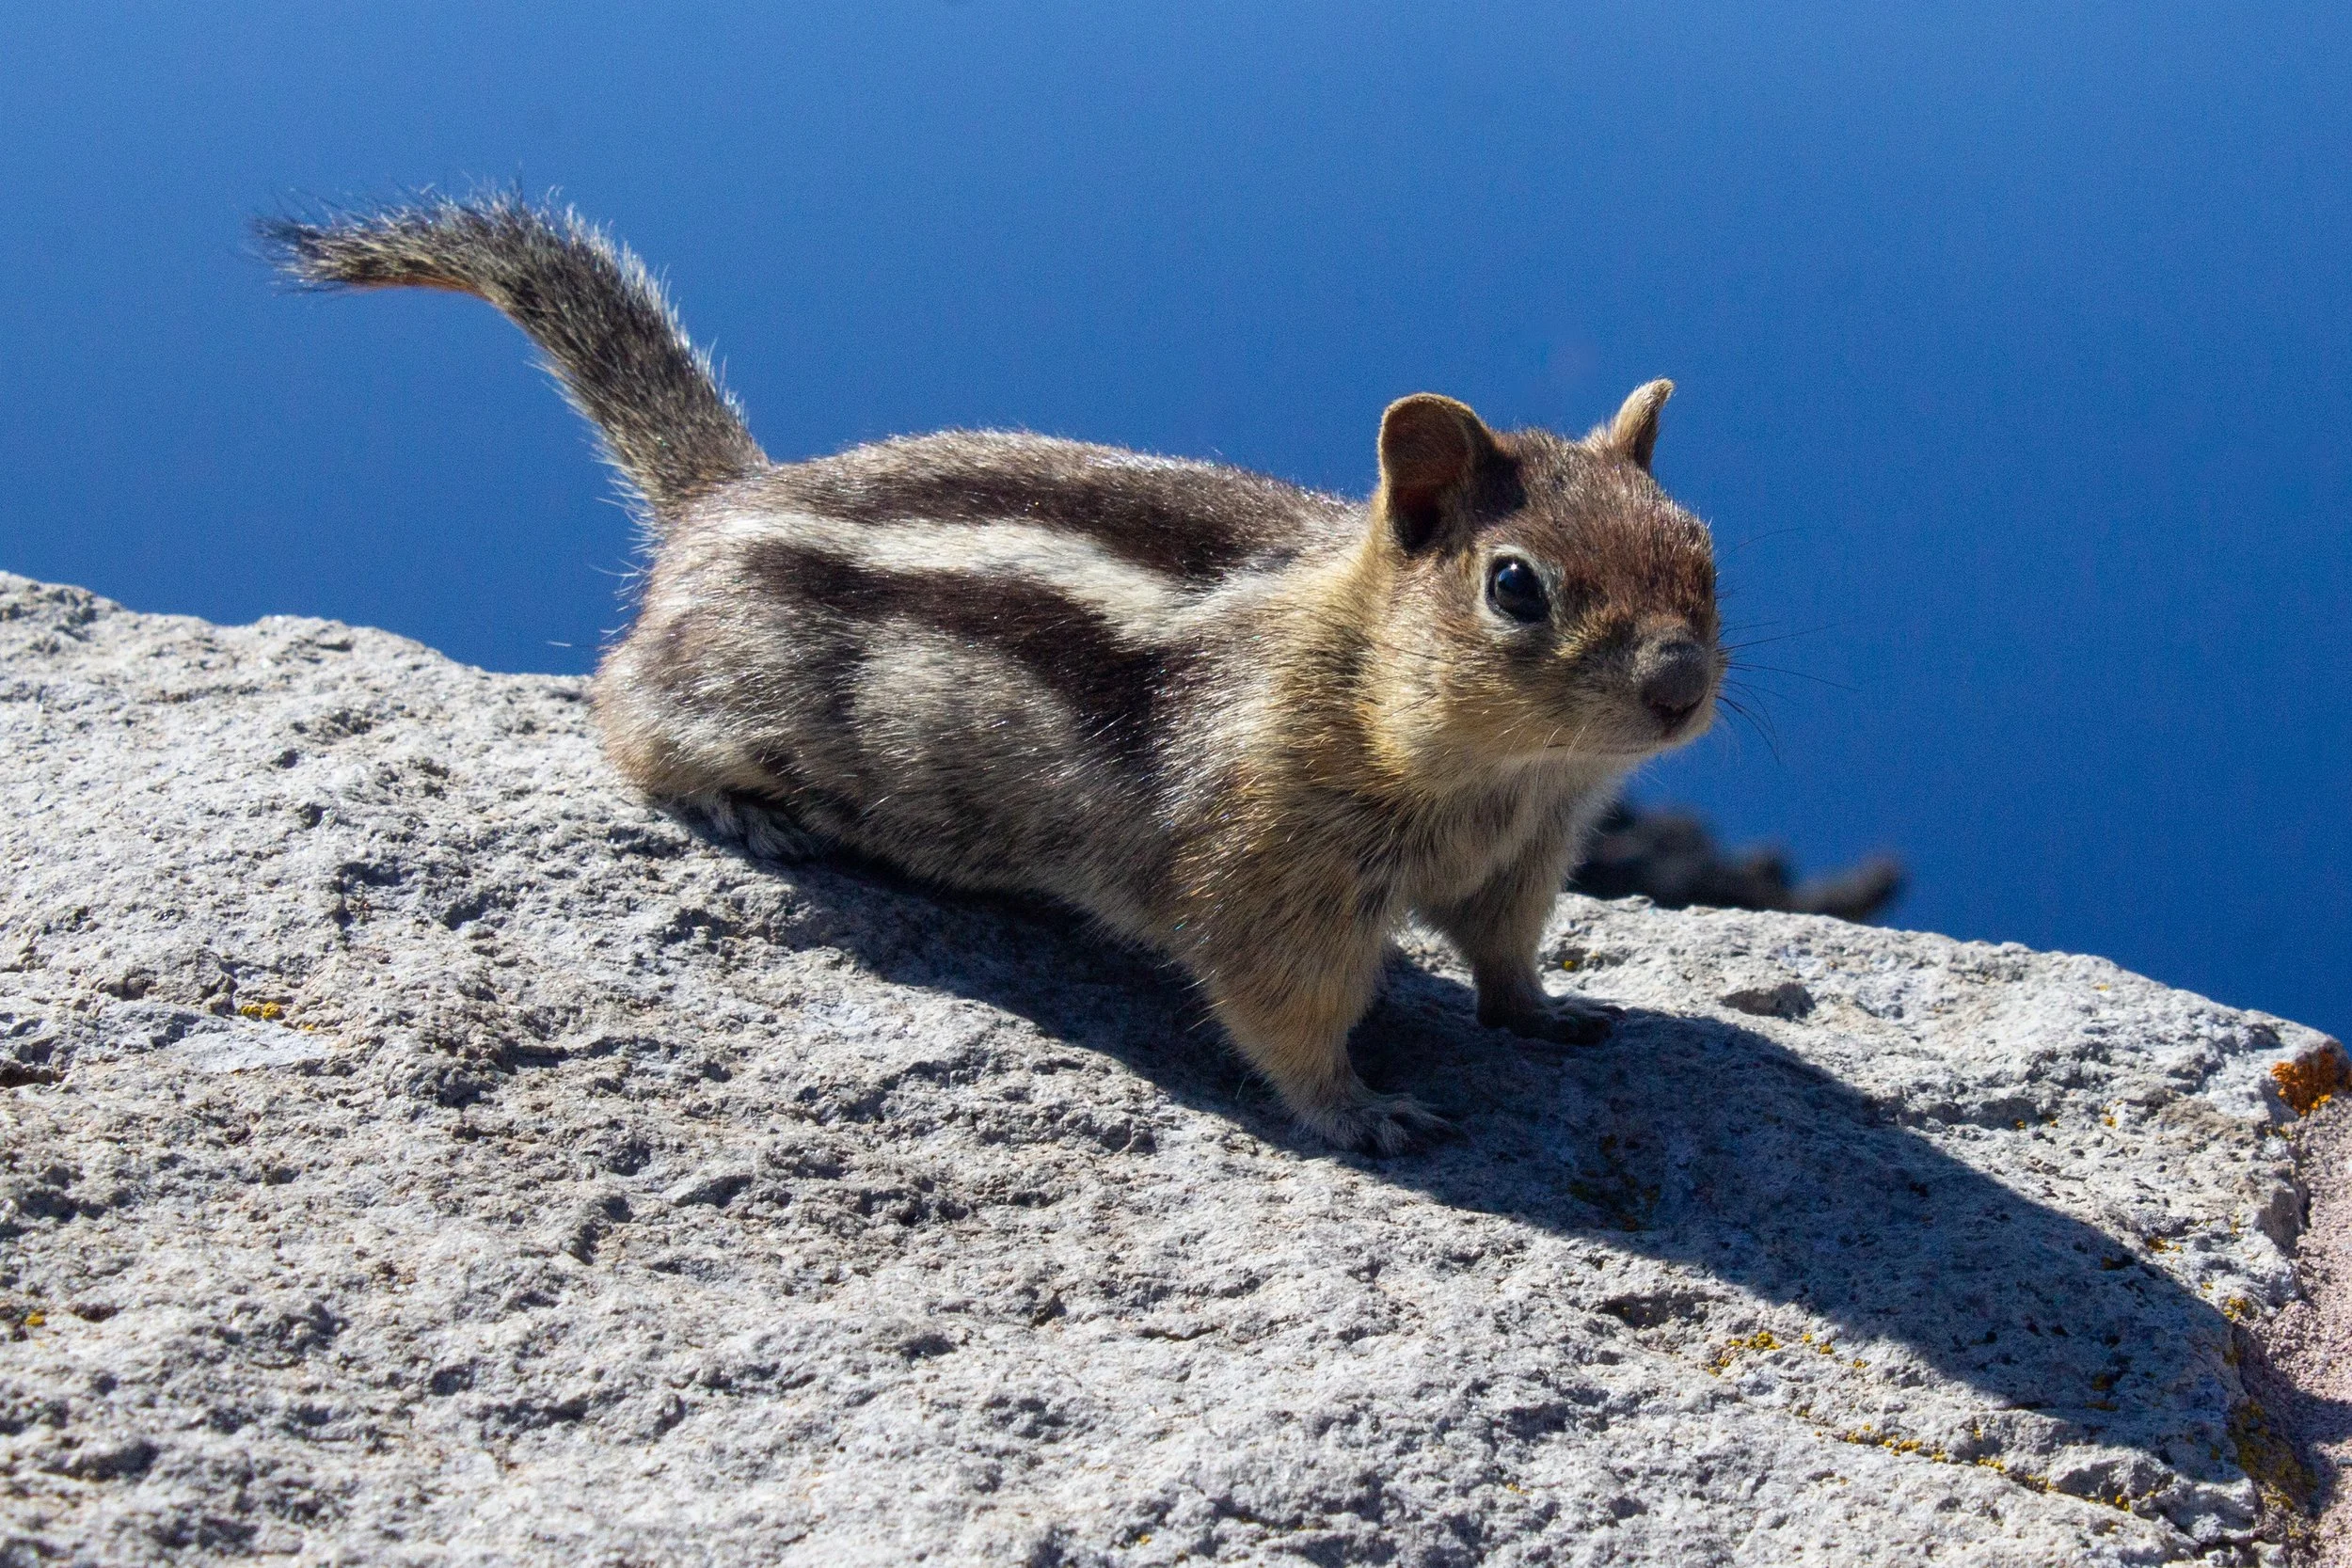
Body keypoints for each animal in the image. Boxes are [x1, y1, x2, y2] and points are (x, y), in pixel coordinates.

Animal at [262, 195, 1724, 1154]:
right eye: (1516, 585)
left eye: (1703, 545)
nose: (1679, 688)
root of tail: (720, 502)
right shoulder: (1269, 869)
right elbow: (1283, 1005)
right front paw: (1365, 1110)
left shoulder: (1524, 856)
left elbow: (1506, 952)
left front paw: (1550, 1013)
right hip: (718, 682)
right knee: (618, 701)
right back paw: (744, 805)